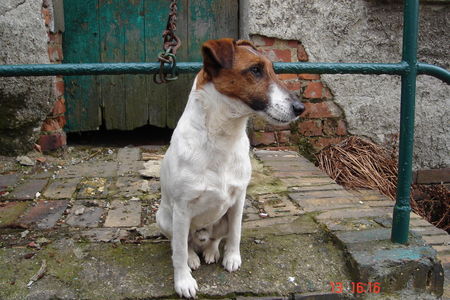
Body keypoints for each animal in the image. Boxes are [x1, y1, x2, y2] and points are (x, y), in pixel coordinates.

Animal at [156, 38, 306, 298]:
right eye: (255, 70)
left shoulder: (239, 199)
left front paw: (232, 257)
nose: (300, 108)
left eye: (272, 69)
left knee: (214, 238)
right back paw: (193, 257)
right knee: (183, 244)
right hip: (165, 219)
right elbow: (179, 252)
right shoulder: (182, 208)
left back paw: (211, 251)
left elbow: (235, 233)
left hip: (223, 217)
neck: (222, 137)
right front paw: (183, 281)